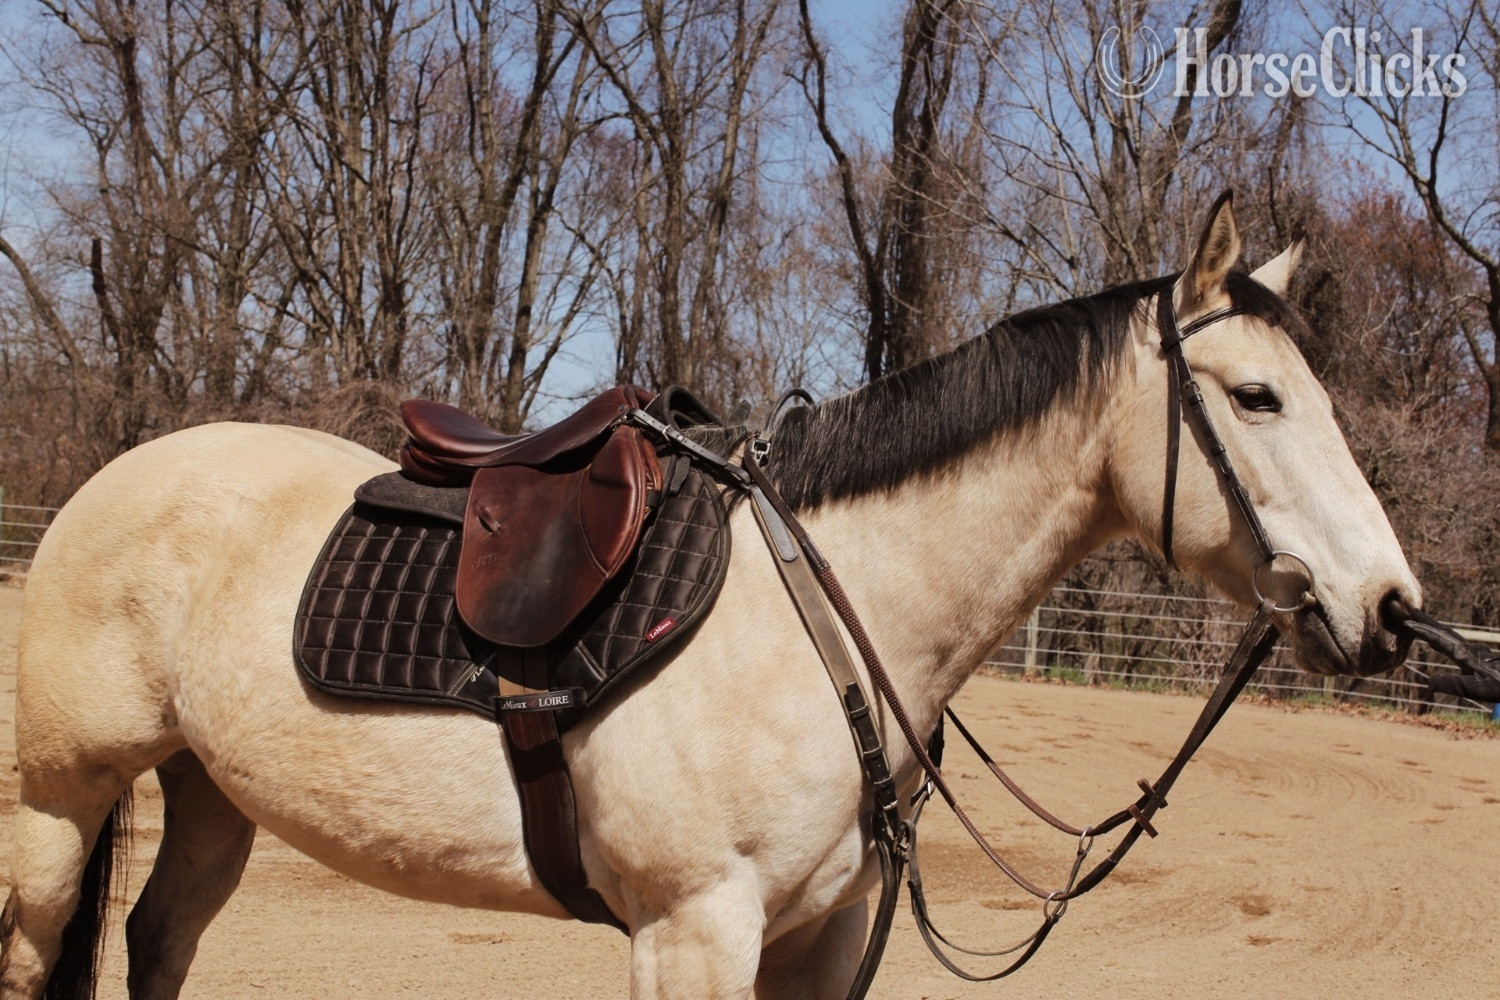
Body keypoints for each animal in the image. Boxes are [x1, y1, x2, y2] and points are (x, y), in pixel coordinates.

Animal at [2, 193, 1419, 1000]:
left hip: (208, 793)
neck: (829, 623)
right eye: (1257, 396)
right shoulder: (693, 934)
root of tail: (113, 482)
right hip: (60, 800)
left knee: (158, 944)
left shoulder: (817, 942)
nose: (1393, 608)